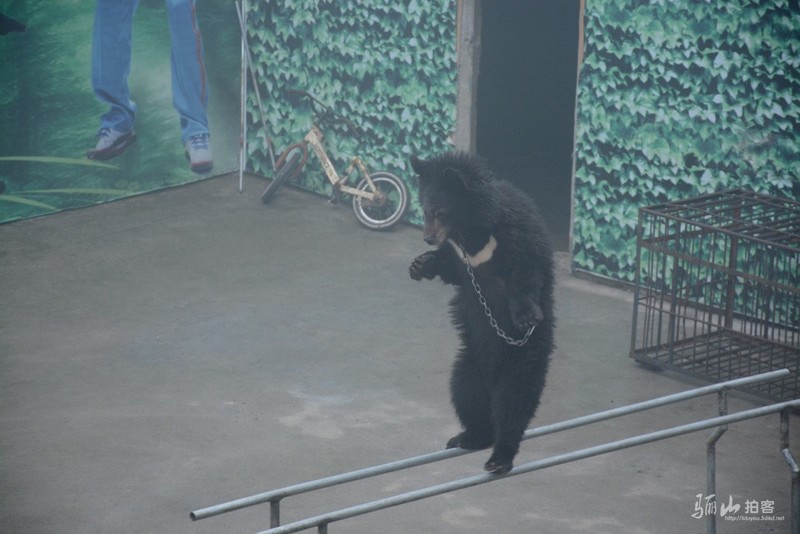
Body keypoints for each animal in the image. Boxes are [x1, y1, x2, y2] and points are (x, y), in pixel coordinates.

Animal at [408, 151, 555, 474]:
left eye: (440, 212)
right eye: (425, 210)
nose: (428, 238)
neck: (473, 231)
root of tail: (492, 371)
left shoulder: (516, 234)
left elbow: (526, 272)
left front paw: (526, 315)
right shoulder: (460, 255)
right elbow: (450, 269)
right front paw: (420, 264)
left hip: (523, 359)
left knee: (515, 403)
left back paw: (500, 456)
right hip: (469, 362)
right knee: (466, 394)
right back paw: (470, 436)